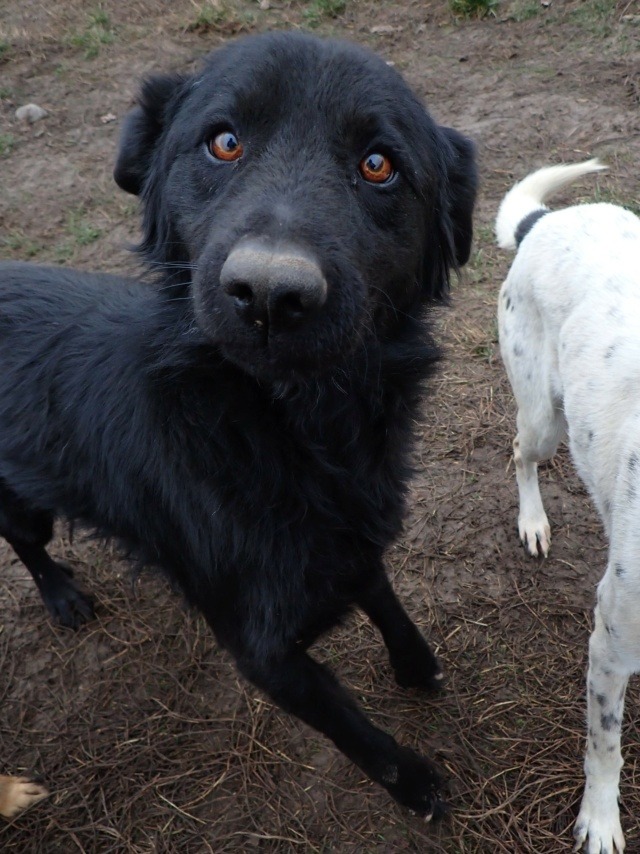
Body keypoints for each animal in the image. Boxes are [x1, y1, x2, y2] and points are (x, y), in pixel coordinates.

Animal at [0, 32, 477, 817]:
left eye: (379, 164)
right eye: (223, 142)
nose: (269, 294)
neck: (287, 428)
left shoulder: (351, 537)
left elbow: (384, 596)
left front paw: (417, 666)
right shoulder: (264, 656)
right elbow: (355, 732)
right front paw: (415, 784)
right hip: (25, 506)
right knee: (26, 543)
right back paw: (62, 595)